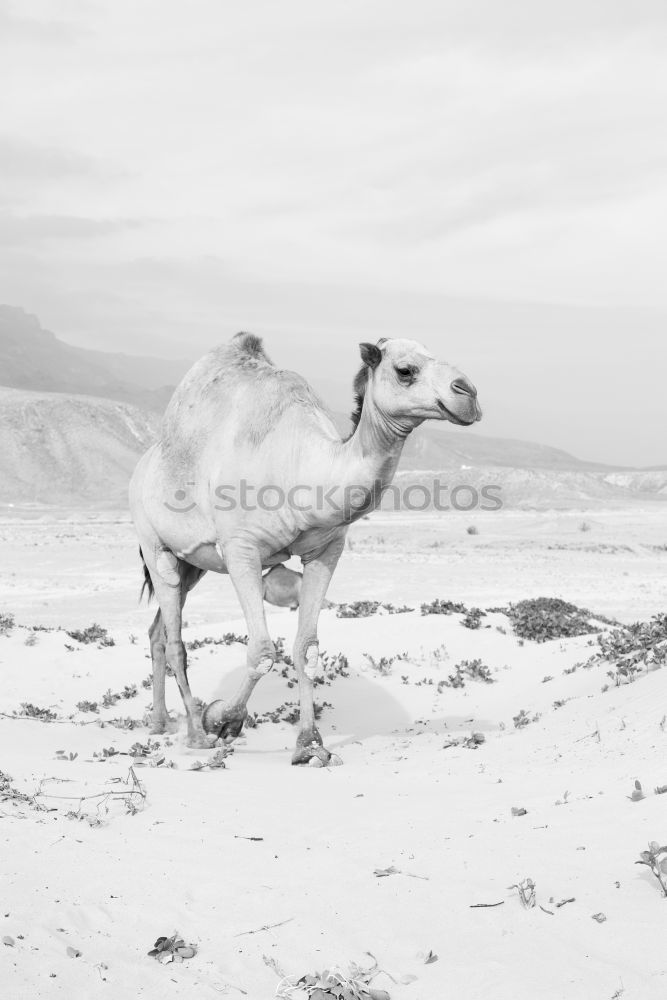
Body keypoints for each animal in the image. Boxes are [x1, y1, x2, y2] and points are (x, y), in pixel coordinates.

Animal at [129, 332, 480, 760]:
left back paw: (159, 723)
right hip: (154, 544)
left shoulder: (326, 551)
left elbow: (307, 648)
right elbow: (263, 651)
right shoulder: (241, 549)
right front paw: (222, 721)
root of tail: (143, 466)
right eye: (405, 370)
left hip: (191, 564)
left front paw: (310, 745)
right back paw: (195, 733)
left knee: (158, 632)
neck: (302, 469)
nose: (469, 394)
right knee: (176, 640)